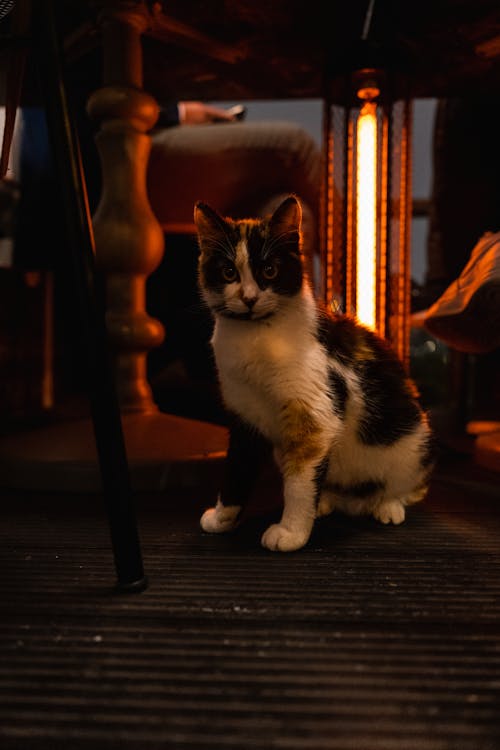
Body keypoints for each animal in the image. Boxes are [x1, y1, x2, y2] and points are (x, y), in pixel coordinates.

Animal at [193, 198, 436, 552]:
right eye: (228, 272)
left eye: (269, 270)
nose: (249, 298)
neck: (254, 337)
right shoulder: (243, 413)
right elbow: (238, 465)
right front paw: (223, 518)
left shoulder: (314, 416)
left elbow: (297, 484)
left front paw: (291, 532)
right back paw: (324, 502)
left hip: (416, 439)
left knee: (408, 486)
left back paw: (387, 505)